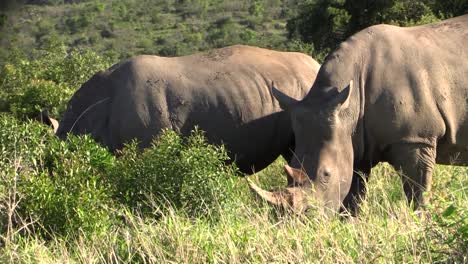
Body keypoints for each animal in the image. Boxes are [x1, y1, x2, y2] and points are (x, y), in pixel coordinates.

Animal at [250, 14, 468, 212]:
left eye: (326, 175)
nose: (301, 219)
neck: (350, 105)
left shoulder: (415, 138)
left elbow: (417, 191)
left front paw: (418, 220)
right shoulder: (355, 140)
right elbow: (352, 196)